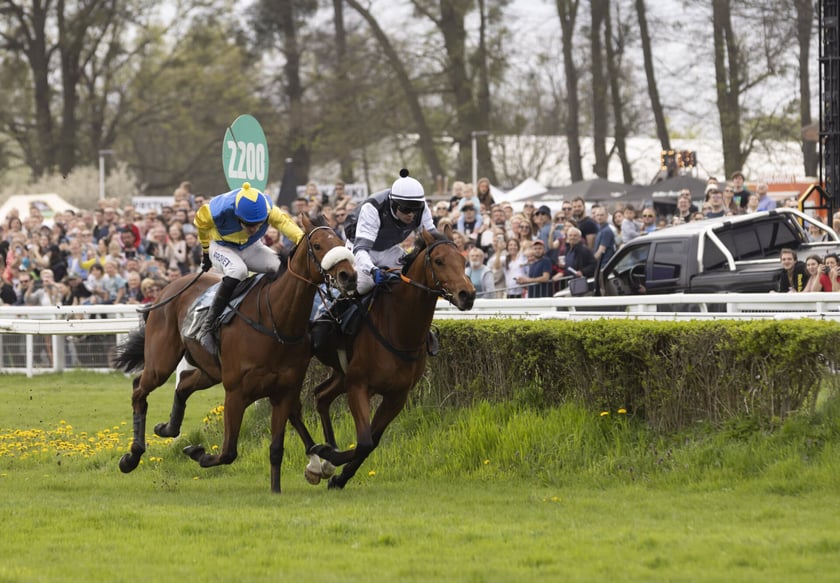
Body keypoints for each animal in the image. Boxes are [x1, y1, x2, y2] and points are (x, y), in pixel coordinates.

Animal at [110, 214, 354, 492]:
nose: (348, 275)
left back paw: (168, 428)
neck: (275, 321)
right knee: (139, 389)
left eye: (341, 242)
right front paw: (197, 453)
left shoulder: (284, 390)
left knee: (183, 384)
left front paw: (277, 490)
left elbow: (276, 448)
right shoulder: (236, 392)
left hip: (210, 371)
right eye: (318, 246)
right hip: (161, 362)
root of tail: (169, 287)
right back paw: (132, 456)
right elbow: (228, 452)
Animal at [302, 228, 472, 488]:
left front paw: (338, 474)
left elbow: (371, 442)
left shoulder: (396, 396)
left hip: (341, 374)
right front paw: (326, 454)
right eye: (439, 260)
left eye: (463, 261)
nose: (467, 295)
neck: (399, 329)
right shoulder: (358, 385)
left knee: (321, 396)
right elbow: (364, 441)